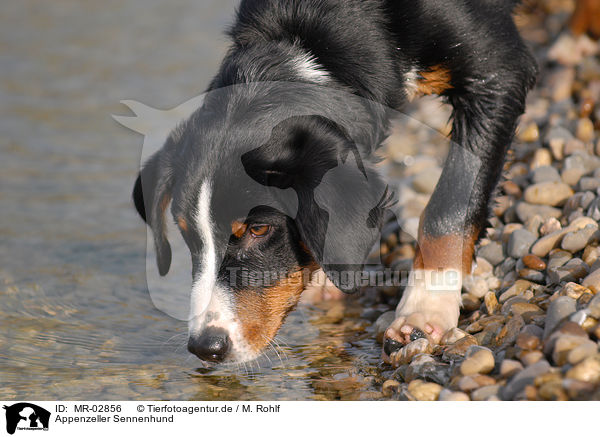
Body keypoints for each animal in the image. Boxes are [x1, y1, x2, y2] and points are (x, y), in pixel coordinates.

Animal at [132, 0, 540, 362]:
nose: (206, 346)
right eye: (187, 233)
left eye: (259, 230)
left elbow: (449, 207)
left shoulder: (497, 73)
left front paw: (426, 308)